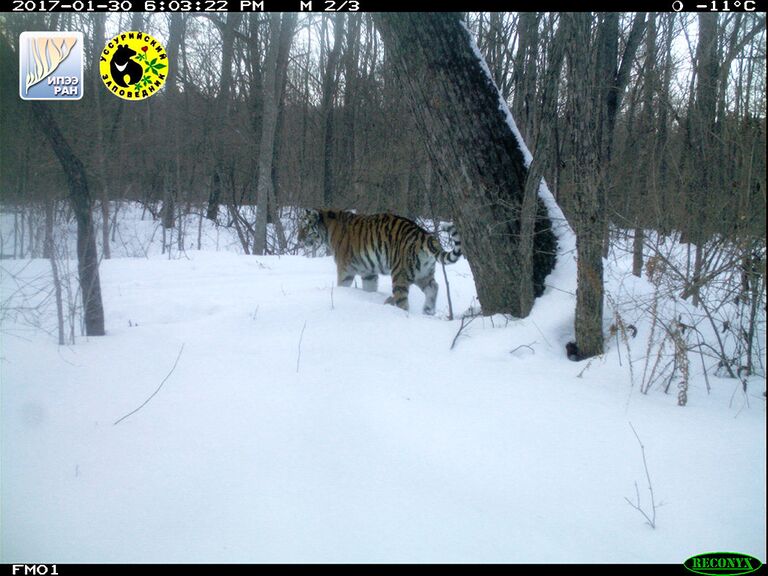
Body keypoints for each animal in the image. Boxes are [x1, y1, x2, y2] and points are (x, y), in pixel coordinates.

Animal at [296, 208, 460, 316]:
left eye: (305, 227)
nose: (299, 239)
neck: (327, 228)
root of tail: (424, 234)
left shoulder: (345, 270)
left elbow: (342, 285)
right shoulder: (368, 272)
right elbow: (369, 288)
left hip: (400, 274)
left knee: (403, 302)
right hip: (423, 273)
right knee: (433, 287)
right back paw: (428, 311)